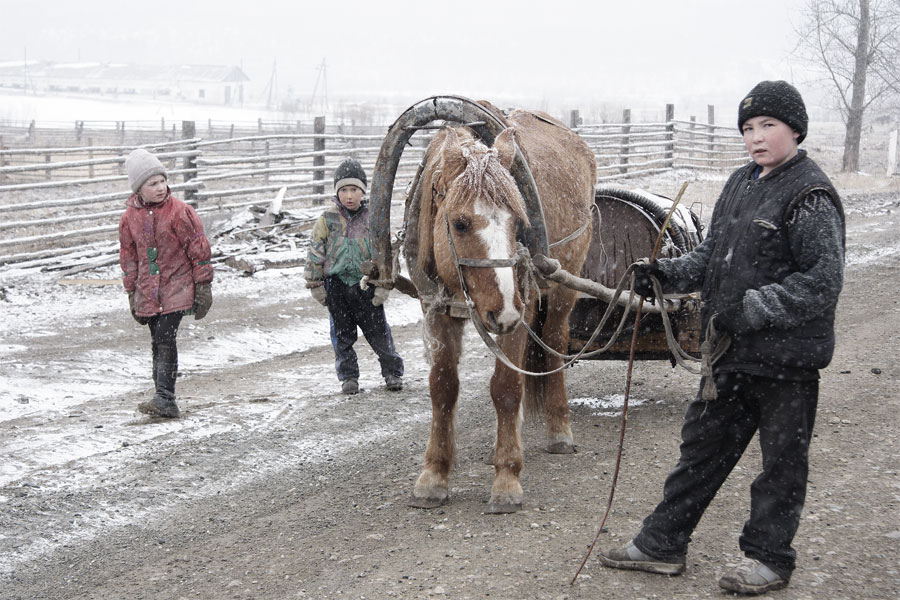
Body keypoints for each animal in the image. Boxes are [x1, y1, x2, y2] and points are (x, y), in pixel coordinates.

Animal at [388, 102, 596, 510]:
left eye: (518, 223)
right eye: (459, 223)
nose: (505, 310)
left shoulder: (521, 310)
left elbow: (506, 387)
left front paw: (507, 478)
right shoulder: (436, 309)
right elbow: (443, 387)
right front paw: (434, 475)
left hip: (561, 290)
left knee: (554, 346)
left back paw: (558, 430)